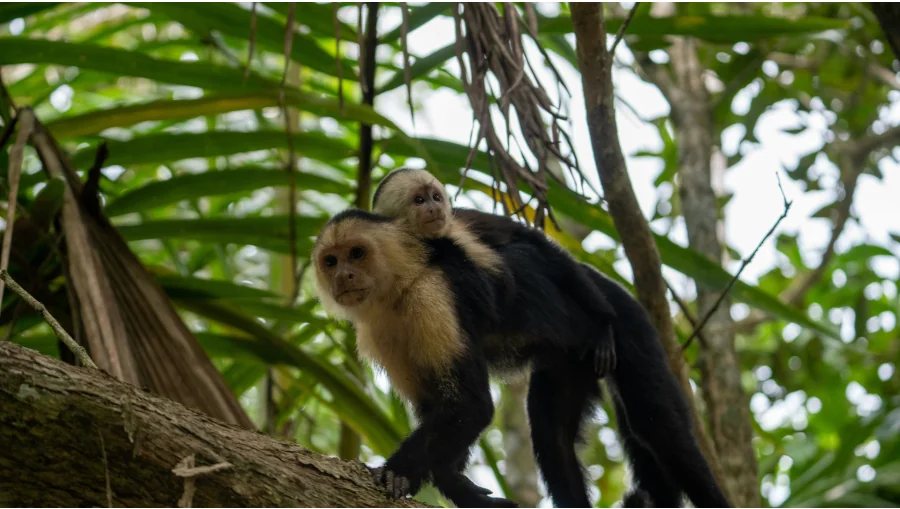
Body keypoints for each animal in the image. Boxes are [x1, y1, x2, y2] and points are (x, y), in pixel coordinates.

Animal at [370, 168, 731, 508]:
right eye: (418, 200)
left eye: (434, 196)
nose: (434, 207)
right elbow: (447, 406)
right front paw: (451, 481)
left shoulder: (463, 225)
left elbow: (527, 240)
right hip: (567, 363)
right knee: (552, 438)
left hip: (630, 324)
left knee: (659, 427)